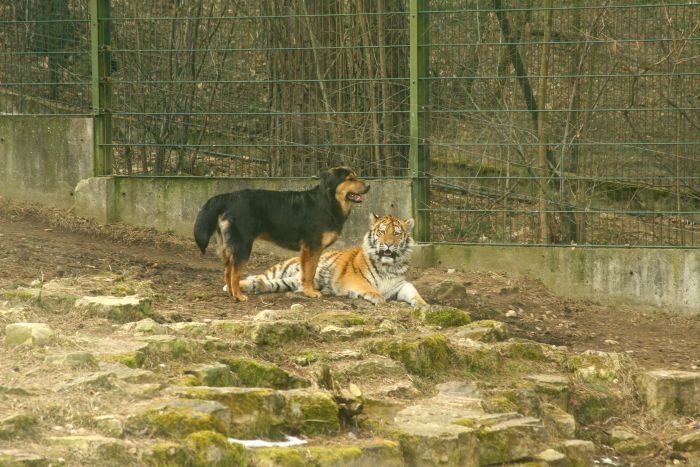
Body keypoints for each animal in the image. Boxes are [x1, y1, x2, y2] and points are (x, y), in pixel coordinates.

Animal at [191, 168, 370, 304]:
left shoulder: (312, 250)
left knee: (227, 271)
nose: (368, 186)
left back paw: (230, 293)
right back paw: (238, 296)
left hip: (230, 246)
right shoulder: (311, 247)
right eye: (350, 178)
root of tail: (228, 197)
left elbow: (308, 273)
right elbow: (309, 273)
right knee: (234, 272)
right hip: (243, 245)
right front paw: (310, 292)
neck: (328, 202)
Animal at [237, 212, 426, 308]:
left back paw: (258, 286)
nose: (388, 244)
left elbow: (413, 291)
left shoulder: (400, 284)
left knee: (273, 283)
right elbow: (370, 288)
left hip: (292, 281)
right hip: (282, 268)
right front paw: (378, 297)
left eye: (397, 233)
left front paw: (422, 304)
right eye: (381, 231)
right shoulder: (354, 278)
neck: (387, 266)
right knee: (259, 276)